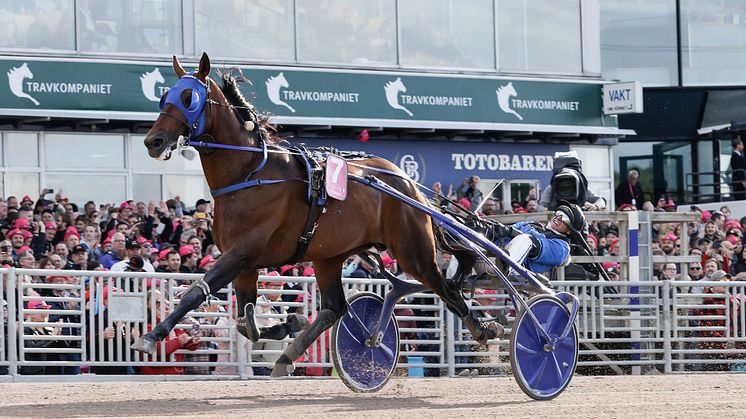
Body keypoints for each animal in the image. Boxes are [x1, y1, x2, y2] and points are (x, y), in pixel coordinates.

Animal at [134, 52, 500, 378]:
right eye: (165, 96)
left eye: (188, 97)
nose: (154, 141)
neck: (250, 171)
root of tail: (406, 181)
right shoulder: (244, 262)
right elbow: (245, 323)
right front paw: (288, 324)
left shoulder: (242, 254)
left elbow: (199, 293)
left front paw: (150, 337)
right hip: (330, 256)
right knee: (335, 308)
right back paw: (289, 355)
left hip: (413, 252)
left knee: (446, 288)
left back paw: (484, 329)